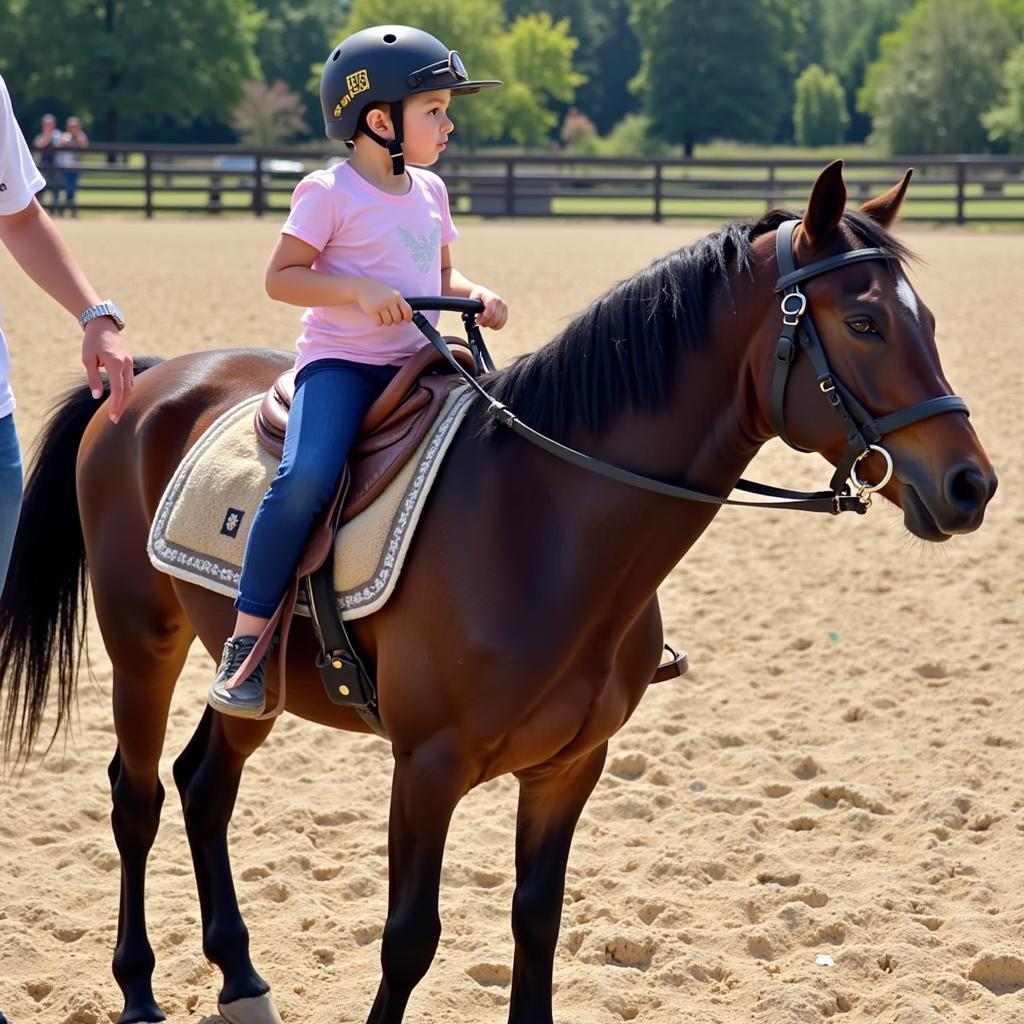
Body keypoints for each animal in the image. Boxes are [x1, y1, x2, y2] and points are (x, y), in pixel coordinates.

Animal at [0, 163, 995, 1024]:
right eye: (863, 325)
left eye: (927, 320)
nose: (971, 485)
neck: (542, 523)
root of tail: (149, 379)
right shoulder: (426, 766)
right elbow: (408, 939)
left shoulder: (570, 766)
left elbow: (537, 921)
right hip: (142, 642)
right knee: (136, 798)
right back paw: (137, 990)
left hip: (252, 678)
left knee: (205, 784)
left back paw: (242, 980)